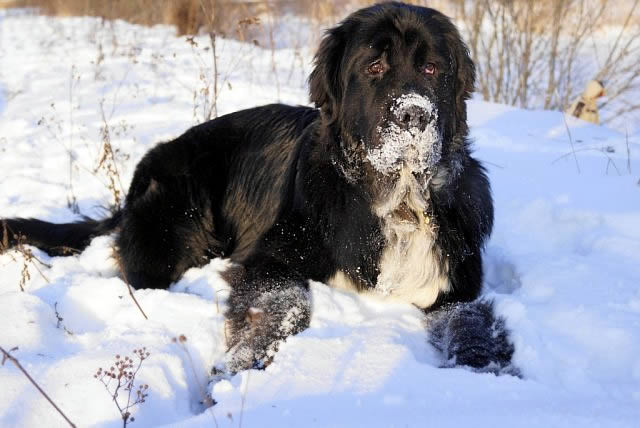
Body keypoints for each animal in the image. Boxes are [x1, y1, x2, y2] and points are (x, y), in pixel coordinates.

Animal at [1, 1, 516, 372]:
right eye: (375, 67)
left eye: (431, 69)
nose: (414, 115)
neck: (394, 199)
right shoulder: (269, 255)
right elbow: (285, 300)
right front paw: (246, 357)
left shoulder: (456, 282)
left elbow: (468, 320)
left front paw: (486, 368)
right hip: (177, 223)